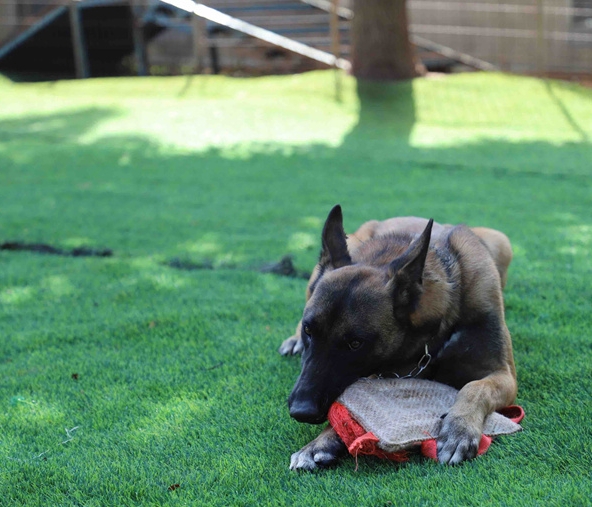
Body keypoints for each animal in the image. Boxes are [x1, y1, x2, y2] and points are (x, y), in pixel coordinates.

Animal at [280, 204, 516, 470]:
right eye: (309, 331)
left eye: (355, 344)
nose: (301, 411)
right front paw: (320, 442)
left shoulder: (503, 374)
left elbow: (475, 387)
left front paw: (459, 428)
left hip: (501, 241)